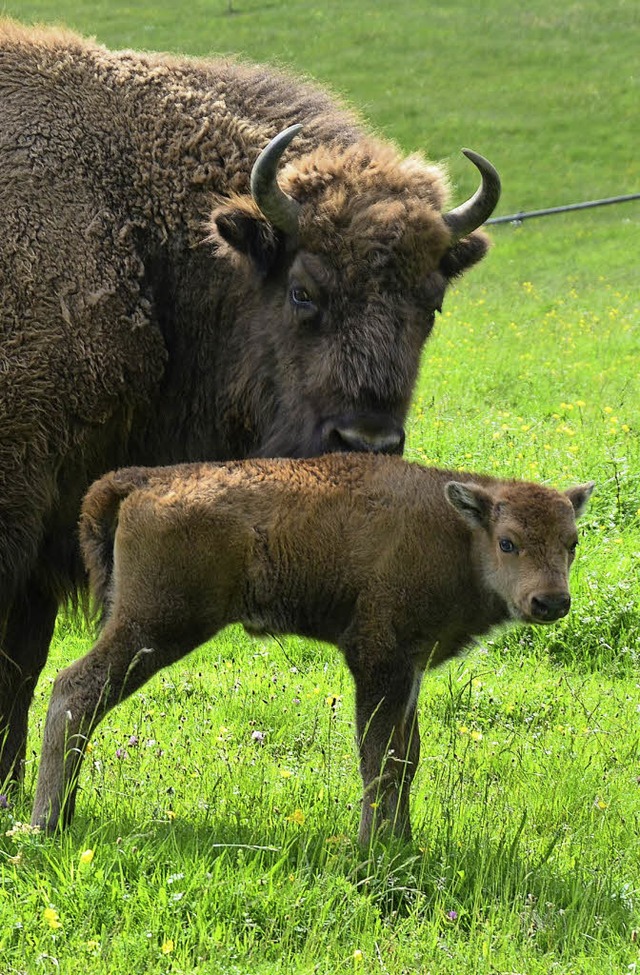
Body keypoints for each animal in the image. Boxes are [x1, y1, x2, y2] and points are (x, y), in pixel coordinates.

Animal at [31, 454, 596, 844]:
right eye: (508, 541)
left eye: (571, 543)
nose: (551, 601)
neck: (456, 531)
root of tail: (142, 479)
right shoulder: (378, 659)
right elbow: (379, 759)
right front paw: (374, 851)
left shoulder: (409, 667)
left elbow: (406, 756)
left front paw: (405, 843)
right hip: (154, 626)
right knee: (73, 691)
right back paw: (45, 824)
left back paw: (62, 814)